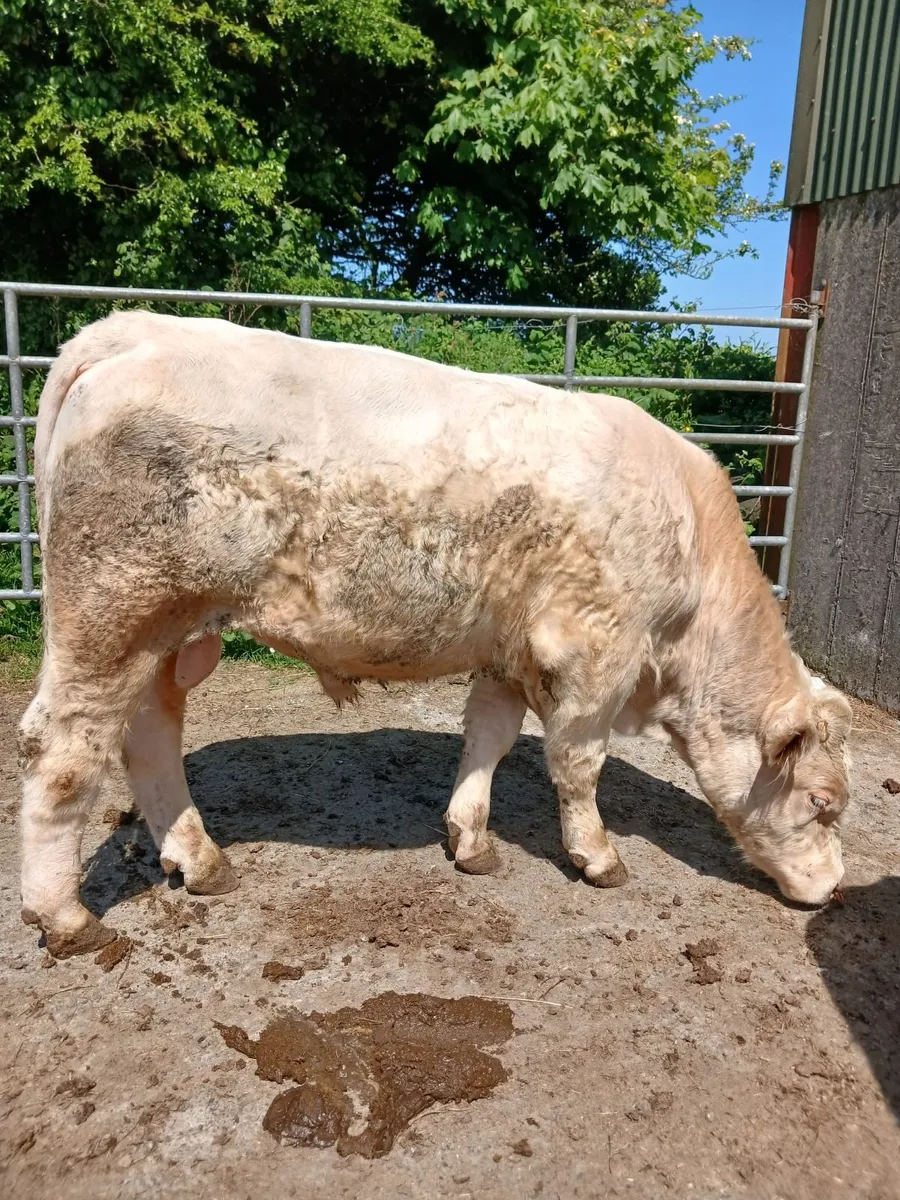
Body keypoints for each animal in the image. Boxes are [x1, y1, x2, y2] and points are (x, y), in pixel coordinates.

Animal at [18, 311, 852, 959]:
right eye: (822, 802)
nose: (836, 887)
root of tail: (129, 329)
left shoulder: (510, 651)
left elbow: (489, 737)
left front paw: (471, 839)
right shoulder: (593, 653)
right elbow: (578, 764)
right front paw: (597, 855)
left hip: (165, 635)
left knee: (147, 736)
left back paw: (199, 860)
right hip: (114, 614)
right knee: (62, 750)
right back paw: (66, 917)